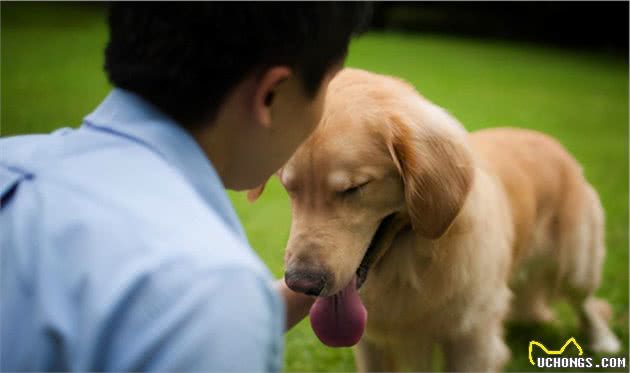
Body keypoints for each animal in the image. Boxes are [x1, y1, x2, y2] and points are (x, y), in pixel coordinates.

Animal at [248, 68, 624, 370]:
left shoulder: (471, 341)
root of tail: (546, 139)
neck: (411, 263)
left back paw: (604, 341)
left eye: (355, 188)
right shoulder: (372, 343)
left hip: (576, 263)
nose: (301, 283)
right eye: (289, 187)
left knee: (587, 303)